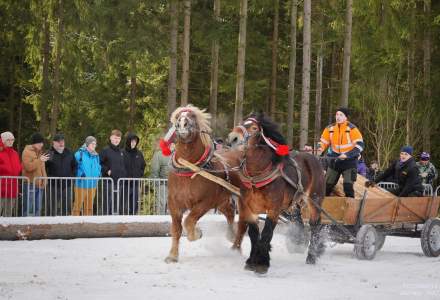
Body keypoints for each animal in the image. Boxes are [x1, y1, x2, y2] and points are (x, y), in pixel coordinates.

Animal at [165, 105, 242, 262]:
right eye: (178, 117)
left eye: (192, 116)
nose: (182, 123)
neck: (188, 170)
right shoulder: (174, 203)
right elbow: (176, 229)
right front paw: (172, 255)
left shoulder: (206, 202)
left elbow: (189, 221)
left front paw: (196, 233)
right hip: (222, 200)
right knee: (230, 212)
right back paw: (231, 236)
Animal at [229, 113, 324, 274]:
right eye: (242, 122)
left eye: (254, 128)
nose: (232, 138)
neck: (256, 176)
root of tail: (314, 158)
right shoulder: (248, 208)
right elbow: (254, 234)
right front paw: (251, 261)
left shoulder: (274, 209)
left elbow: (267, 232)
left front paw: (262, 263)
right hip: (295, 204)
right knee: (299, 221)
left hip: (314, 201)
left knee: (315, 226)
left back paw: (311, 256)